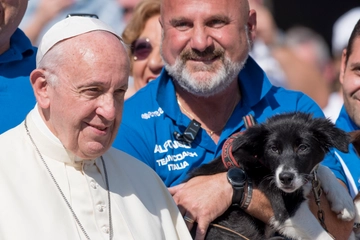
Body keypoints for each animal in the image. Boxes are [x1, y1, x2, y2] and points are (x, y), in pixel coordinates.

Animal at [188, 112, 354, 240]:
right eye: (273, 149)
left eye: (303, 148)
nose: (285, 178)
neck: (260, 160)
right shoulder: (287, 208)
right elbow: (322, 235)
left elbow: (321, 169)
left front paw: (344, 201)